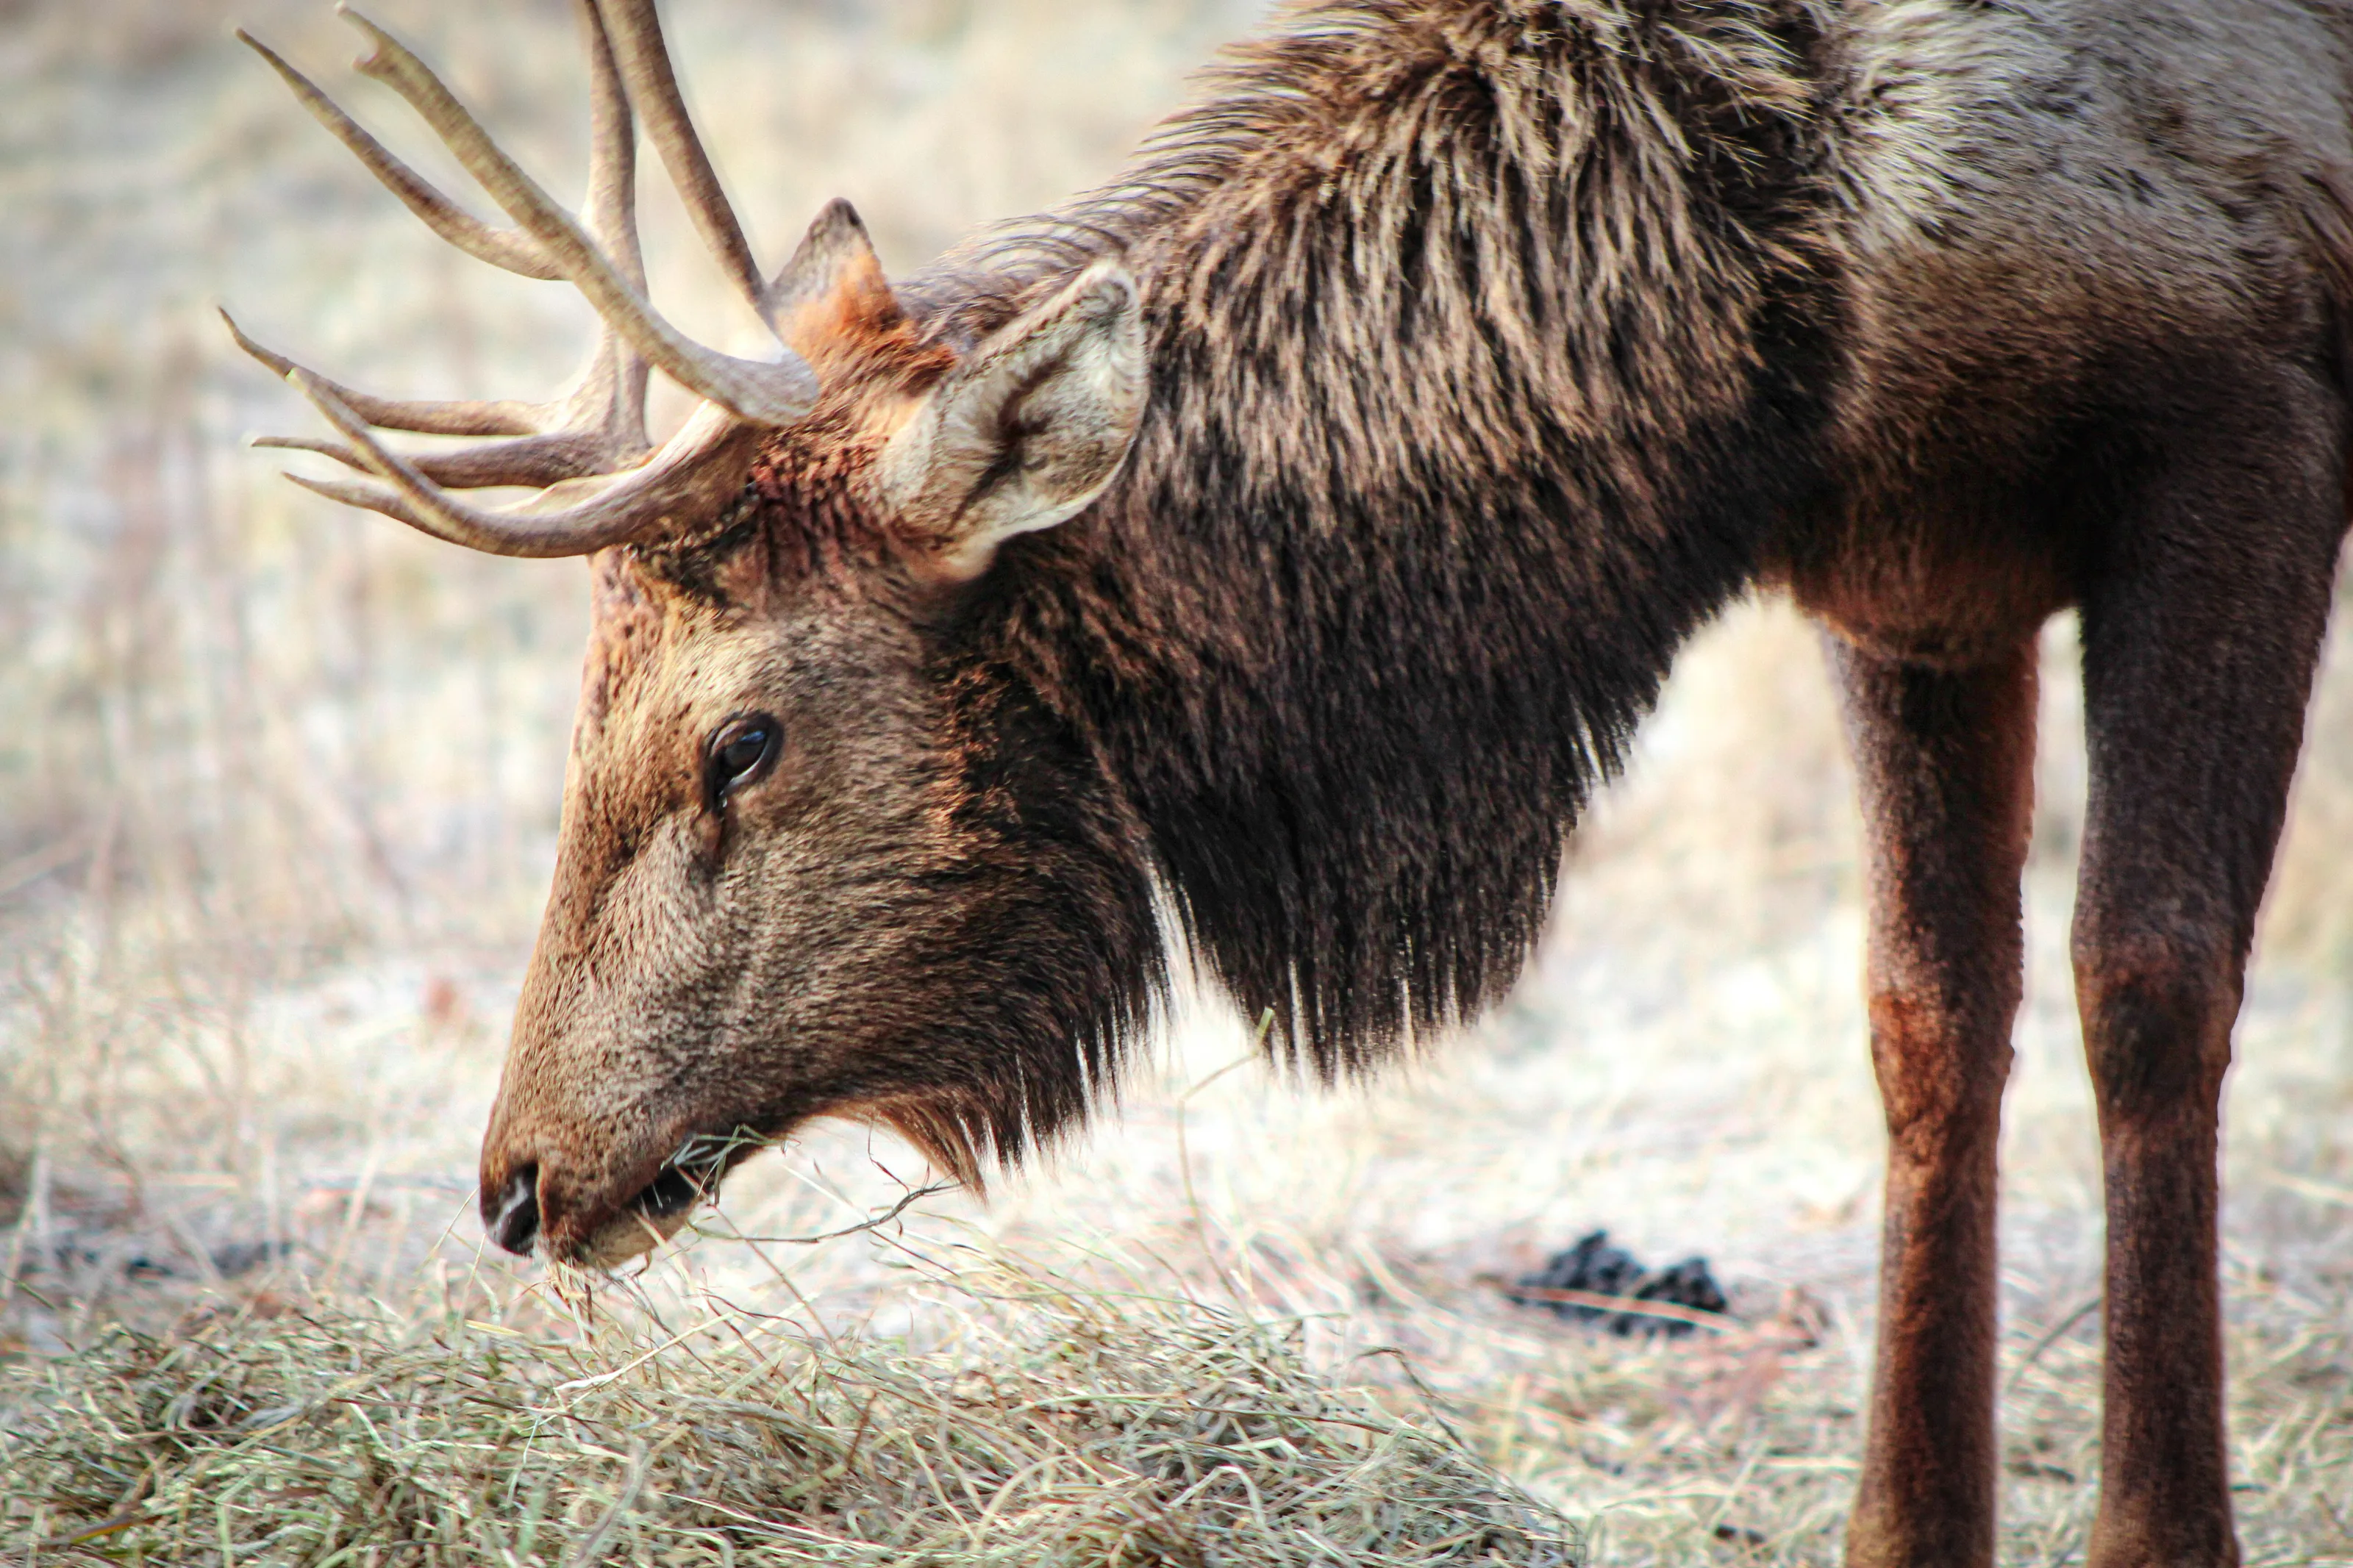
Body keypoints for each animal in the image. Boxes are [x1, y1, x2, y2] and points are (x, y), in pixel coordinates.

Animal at [225, 1, 2353, 1563]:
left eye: (738, 738)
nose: (516, 1177)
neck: (1802, 312)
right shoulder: (1912, 564)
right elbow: (1927, 1018)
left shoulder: (2242, 418)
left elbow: (2147, 983)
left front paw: (2166, 1530)